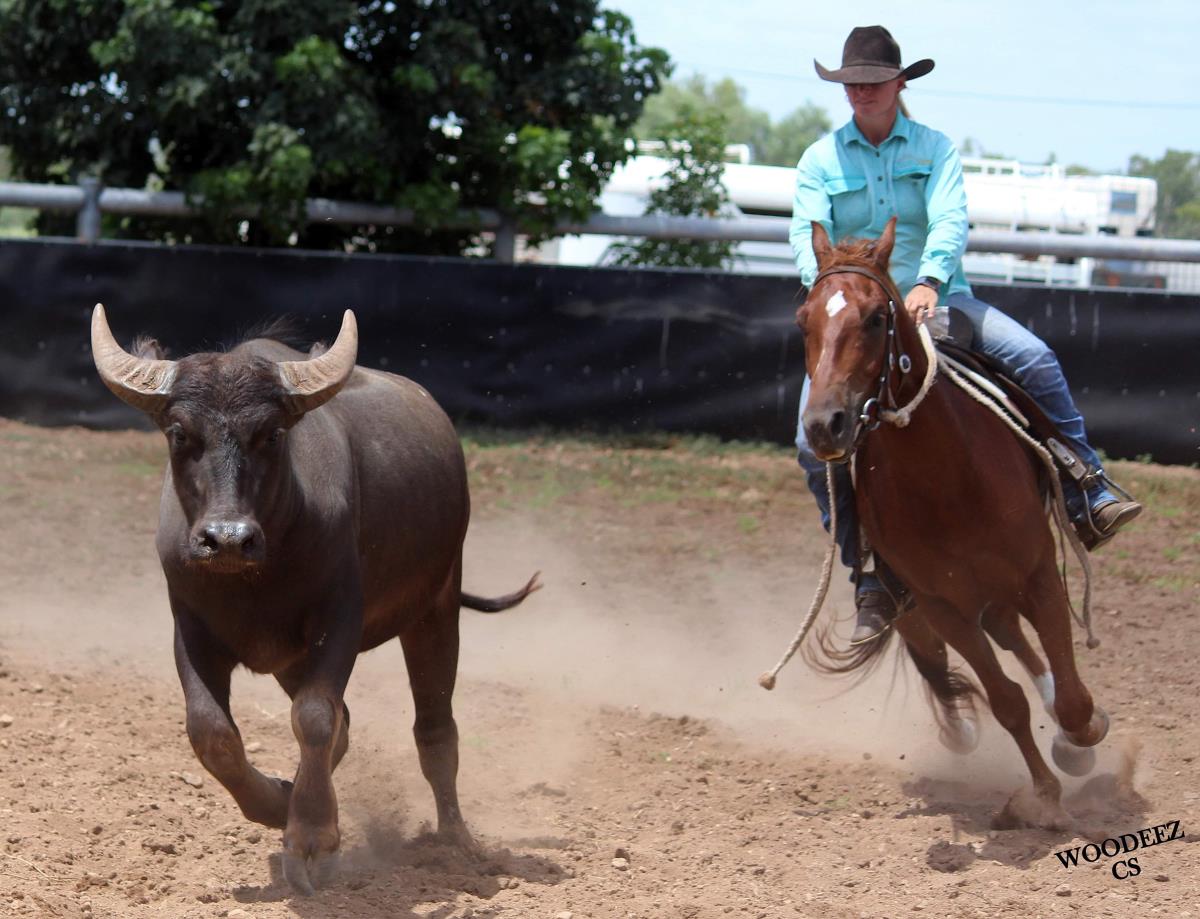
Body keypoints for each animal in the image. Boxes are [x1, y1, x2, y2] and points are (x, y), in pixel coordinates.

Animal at [90, 304, 539, 894]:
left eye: (272, 433)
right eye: (179, 432)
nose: (226, 538)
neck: (254, 577)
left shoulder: (338, 619)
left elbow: (315, 718)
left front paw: (312, 841)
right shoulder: (190, 626)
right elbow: (213, 733)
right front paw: (278, 804)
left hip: (436, 606)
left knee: (435, 729)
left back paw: (457, 843)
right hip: (293, 658)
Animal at [795, 218, 1109, 828]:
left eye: (876, 317)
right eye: (804, 320)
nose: (824, 426)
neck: (947, 477)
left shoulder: (1039, 574)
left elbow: (1070, 697)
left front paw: (1080, 738)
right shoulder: (941, 605)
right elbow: (1007, 701)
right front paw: (1045, 795)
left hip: (1002, 586)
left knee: (1024, 646)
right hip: (935, 603)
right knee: (980, 649)